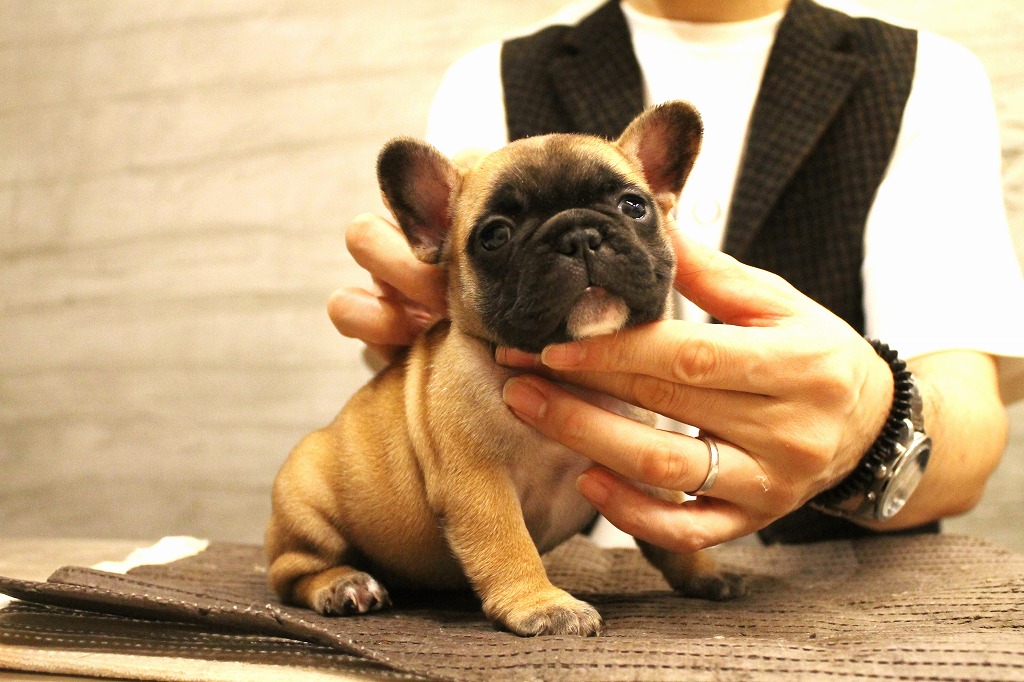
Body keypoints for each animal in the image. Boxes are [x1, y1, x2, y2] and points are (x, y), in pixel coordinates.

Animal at [265, 101, 743, 637]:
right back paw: (344, 584)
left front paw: (704, 572)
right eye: (495, 236)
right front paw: (543, 604)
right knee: (292, 572)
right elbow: (507, 543)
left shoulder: (643, 478)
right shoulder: (478, 482)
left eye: (633, 207)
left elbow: (670, 533)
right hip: (307, 505)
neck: (562, 374)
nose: (579, 236)